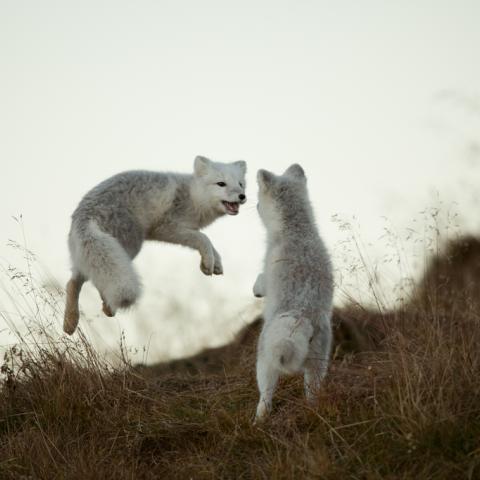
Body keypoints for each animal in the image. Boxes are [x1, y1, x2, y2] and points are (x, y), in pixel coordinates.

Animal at [63, 157, 248, 334]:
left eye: (240, 184)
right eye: (221, 183)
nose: (242, 196)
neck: (193, 196)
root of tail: (86, 214)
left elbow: (211, 246)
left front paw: (214, 264)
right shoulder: (168, 228)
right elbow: (204, 239)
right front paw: (208, 263)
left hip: (90, 254)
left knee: (73, 281)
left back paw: (71, 323)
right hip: (129, 247)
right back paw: (104, 309)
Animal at [253, 164, 332, 420]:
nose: (254, 205)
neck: (296, 228)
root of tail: (301, 314)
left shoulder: (267, 267)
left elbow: (260, 280)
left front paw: (256, 290)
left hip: (264, 360)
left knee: (265, 395)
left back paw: (258, 420)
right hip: (318, 365)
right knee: (313, 394)